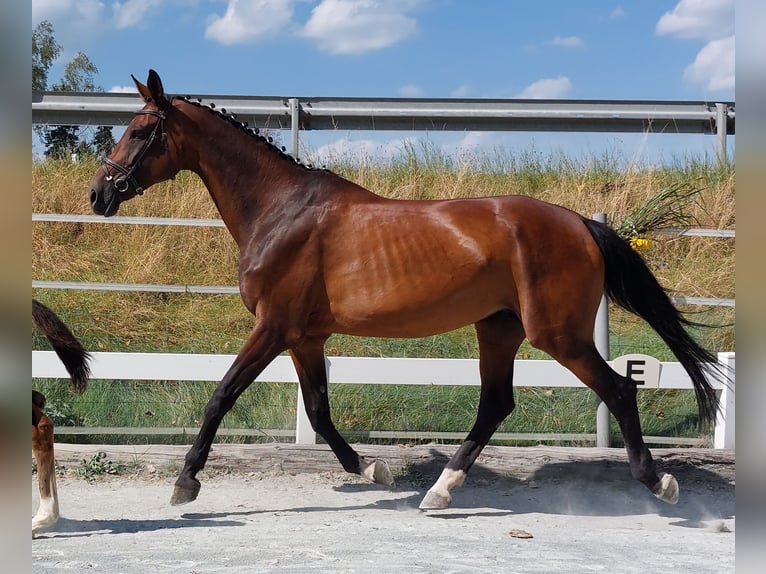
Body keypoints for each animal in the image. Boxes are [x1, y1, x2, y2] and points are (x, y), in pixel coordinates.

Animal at [88, 70, 720, 510]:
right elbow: (317, 411)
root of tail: (581, 224)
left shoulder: (272, 327)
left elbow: (221, 395)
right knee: (496, 403)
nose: (99, 194)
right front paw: (373, 469)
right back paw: (439, 490)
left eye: (140, 131)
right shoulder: (305, 338)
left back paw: (659, 482)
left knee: (619, 389)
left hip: (558, 335)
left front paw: (185, 482)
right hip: (499, 328)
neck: (281, 211)